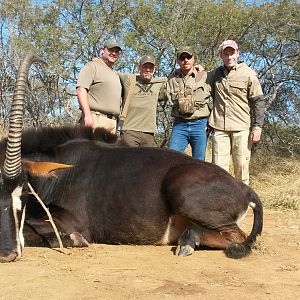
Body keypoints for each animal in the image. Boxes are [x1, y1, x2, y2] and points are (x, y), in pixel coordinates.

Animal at [0, 54, 262, 262]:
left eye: (23, 193)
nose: (8, 253)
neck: (62, 171)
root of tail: (245, 189)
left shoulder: (73, 223)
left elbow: (44, 233)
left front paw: (70, 240)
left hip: (184, 193)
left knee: (238, 236)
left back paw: (189, 241)